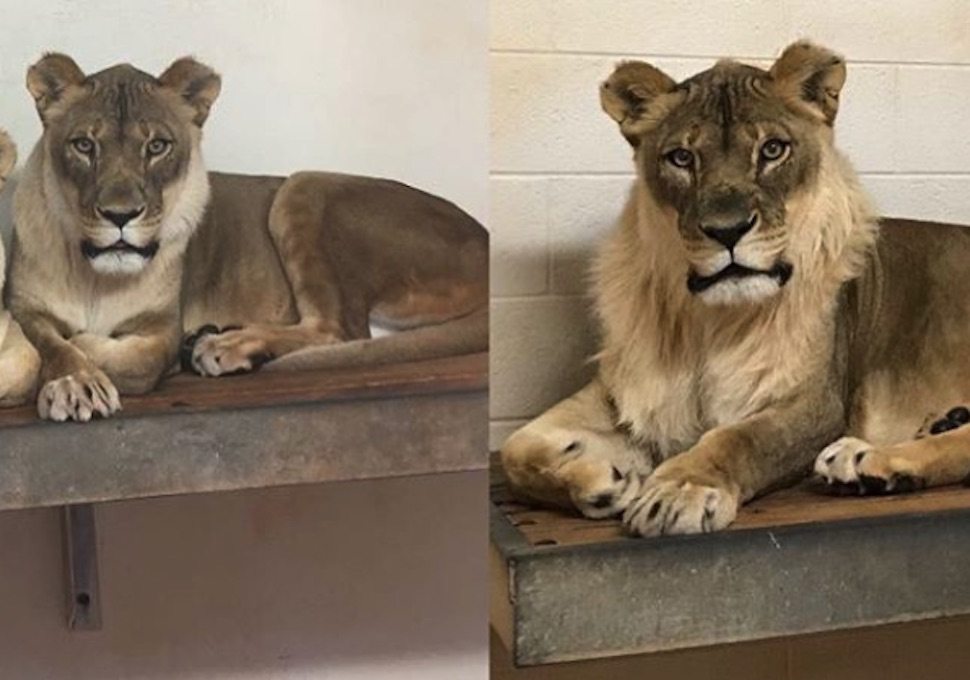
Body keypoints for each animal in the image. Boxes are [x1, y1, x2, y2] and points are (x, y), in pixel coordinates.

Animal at [7, 53, 488, 422]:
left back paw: (223, 346)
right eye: (84, 146)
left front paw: (86, 352)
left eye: (158, 146)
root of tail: (481, 233)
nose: (120, 215)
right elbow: (47, 343)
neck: (97, 278)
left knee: (341, 329)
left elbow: (135, 360)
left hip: (304, 185)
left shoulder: (163, 327)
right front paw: (75, 382)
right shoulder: (22, 305)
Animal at [500, 40, 970, 537]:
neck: (706, 322)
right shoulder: (624, 390)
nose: (727, 231)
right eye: (681, 158)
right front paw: (601, 479)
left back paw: (863, 462)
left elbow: (737, 439)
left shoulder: (815, 405)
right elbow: (516, 448)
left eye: (772, 149)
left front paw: (680, 491)